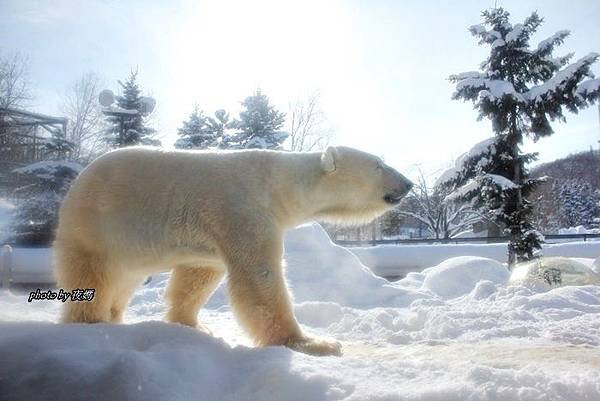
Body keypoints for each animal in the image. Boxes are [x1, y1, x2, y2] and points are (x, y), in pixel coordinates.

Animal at [55, 145, 412, 354]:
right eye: (379, 164)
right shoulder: (244, 209)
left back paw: (115, 317)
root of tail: (79, 180)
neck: (279, 183)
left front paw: (192, 324)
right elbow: (259, 278)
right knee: (93, 277)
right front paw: (314, 342)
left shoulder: (213, 229)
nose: (408, 183)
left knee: (124, 280)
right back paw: (92, 320)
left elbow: (199, 274)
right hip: (98, 225)